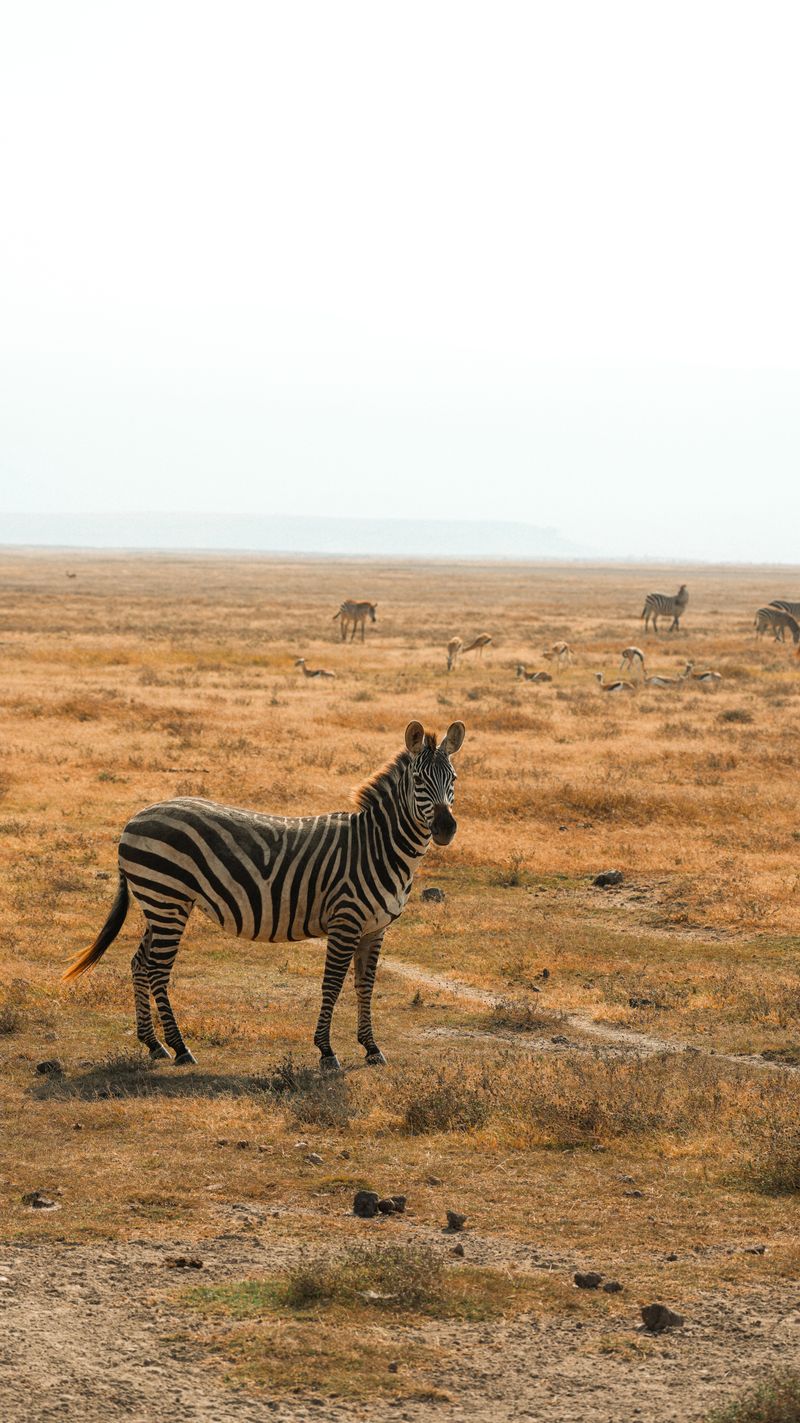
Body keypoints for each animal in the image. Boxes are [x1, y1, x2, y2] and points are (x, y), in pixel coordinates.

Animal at [63, 721, 466, 1071]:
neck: (378, 846)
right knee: (157, 970)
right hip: (167, 899)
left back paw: (153, 1043)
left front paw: (370, 1047)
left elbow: (365, 986)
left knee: (139, 962)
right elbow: (333, 985)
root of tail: (136, 816)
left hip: (161, 903)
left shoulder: (375, 928)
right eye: (418, 780)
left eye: (454, 779)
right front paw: (326, 1051)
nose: (446, 828)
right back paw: (180, 1048)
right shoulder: (345, 921)